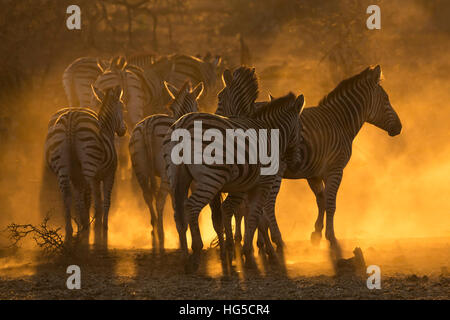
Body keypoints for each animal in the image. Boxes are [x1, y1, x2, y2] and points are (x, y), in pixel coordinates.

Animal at [43, 85, 126, 245]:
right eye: (123, 108)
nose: (123, 131)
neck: (107, 129)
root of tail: (71, 118)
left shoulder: (87, 178)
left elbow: (91, 201)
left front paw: (95, 224)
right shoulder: (108, 174)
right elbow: (105, 201)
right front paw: (104, 226)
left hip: (63, 167)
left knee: (67, 196)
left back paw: (72, 228)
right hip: (88, 164)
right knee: (86, 196)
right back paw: (85, 225)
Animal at [127, 80, 203, 252]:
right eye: (198, 106)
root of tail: (148, 125)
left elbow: (178, 203)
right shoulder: (191, 180)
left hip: (140, 168)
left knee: (148, 197)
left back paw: (154, 229)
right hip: (164, 173)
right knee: (159, 199)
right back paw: (161, 234)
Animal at [163, 91, 304, 272]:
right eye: (300, 129)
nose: (296, 162)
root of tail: (183, 122)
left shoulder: (245, 186)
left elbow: (251, 217)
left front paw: (242, 252)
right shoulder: (263, 183)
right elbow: (255, 216)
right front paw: (252, 254)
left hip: (177, 177)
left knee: (179, 211)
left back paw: (185, 257)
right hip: (212, 177)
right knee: (191, 206)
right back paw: (196, 254)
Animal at [258, 65, 402, 260]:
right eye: (386, 99)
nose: (399, 128)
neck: (339, 122)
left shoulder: (314, 173)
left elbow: (321, 200)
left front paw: (316, 234)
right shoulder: (335, 169)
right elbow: (331, 203)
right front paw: (331, 238)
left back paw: (264, 245)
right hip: (274, 171)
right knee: (267, 205)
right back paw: (278, 242)